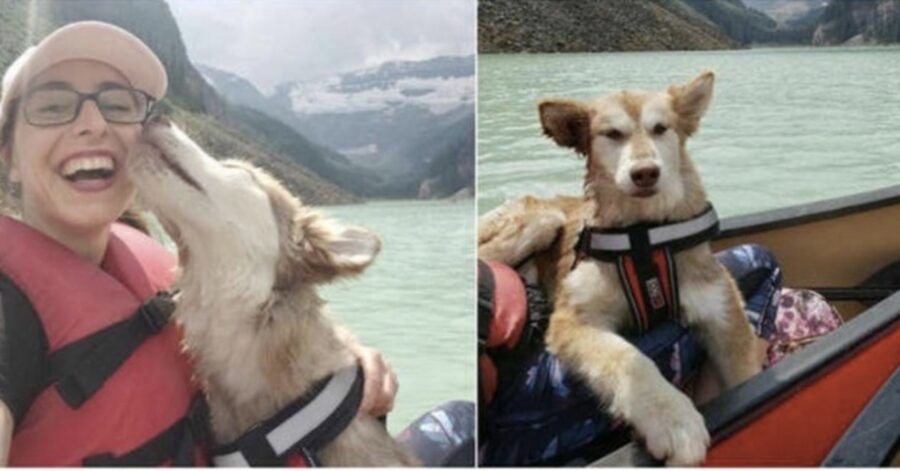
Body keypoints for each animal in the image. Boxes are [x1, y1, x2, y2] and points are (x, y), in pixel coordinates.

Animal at [478, 72, 760, 466]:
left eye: (661, 128)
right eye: (612, 134)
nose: (645, 173)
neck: (644, 235)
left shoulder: (722, 311)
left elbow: (747, 375)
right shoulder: (572, 318)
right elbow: (629, 358)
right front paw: (673, 419)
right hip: (539, 221)